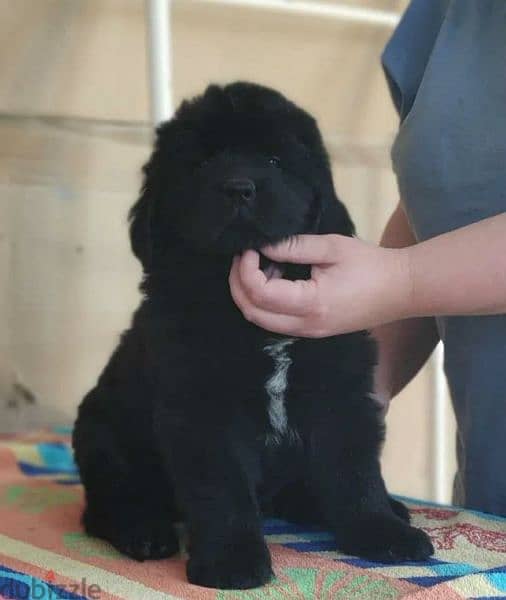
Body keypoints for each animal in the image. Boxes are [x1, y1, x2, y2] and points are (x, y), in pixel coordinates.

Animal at [73, 82, 432, 588]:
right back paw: (142, 530)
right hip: (103, 436)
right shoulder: (203, 409)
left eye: (275, 161)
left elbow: (355, 470)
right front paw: (232, 562)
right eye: (202, 162)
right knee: (108, 500)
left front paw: (383, 532)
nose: (239, 188)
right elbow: (223, 488)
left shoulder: (340, 392)